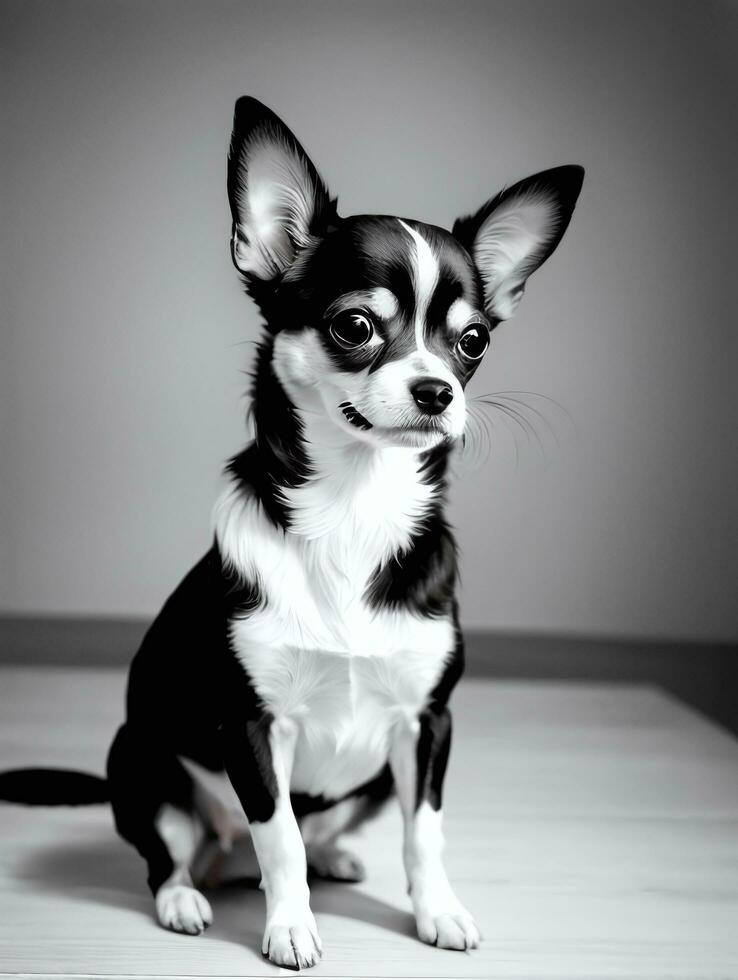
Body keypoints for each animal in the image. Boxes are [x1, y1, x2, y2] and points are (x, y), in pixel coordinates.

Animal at [0, 95, 580, 968]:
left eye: (472, 341)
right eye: (355, 327)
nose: (438, 390)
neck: (354, 509)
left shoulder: (428, 724)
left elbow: (425, 833)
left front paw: (437, 910)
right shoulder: (251, 727)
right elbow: (279, 837)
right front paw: (291, 929)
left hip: (371, 779)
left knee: (322, 830)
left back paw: (334, 857)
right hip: (139, 761)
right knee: (174, 852)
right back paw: (186, 898)